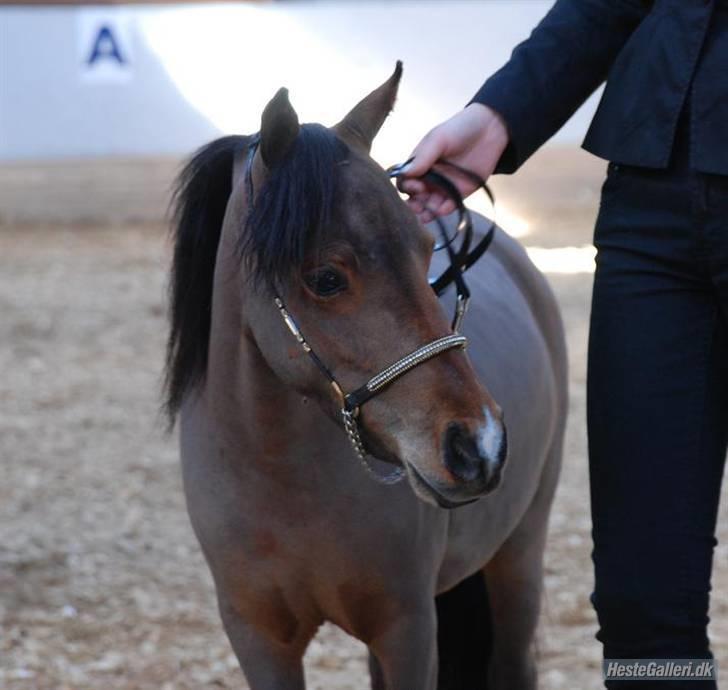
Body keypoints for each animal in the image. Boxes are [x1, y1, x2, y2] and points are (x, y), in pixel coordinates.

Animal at [165, 61, 568, 684]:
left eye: (425, 249)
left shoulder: (407, 629)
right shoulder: (260, 640)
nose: (479, 445)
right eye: (326, 278)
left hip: (518, 555)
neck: (280, 476)